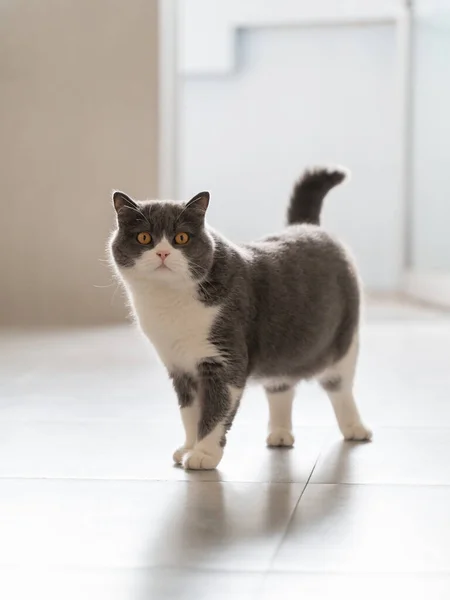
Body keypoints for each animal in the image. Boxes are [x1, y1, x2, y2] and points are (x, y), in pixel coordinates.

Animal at [110, 166, 372, 472]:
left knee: (340, 387)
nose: (163, 253)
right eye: (144, 238)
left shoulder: (224, 359)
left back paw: (355, 428)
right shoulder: (179, 367)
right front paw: (187, 447)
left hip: (344, 340)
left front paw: (203, 454)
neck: (169, 303)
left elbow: (215, 411)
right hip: (280, 347)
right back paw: (280, 434)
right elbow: (189, 413)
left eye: (182, 238)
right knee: (280, 385)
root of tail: (307, 226)